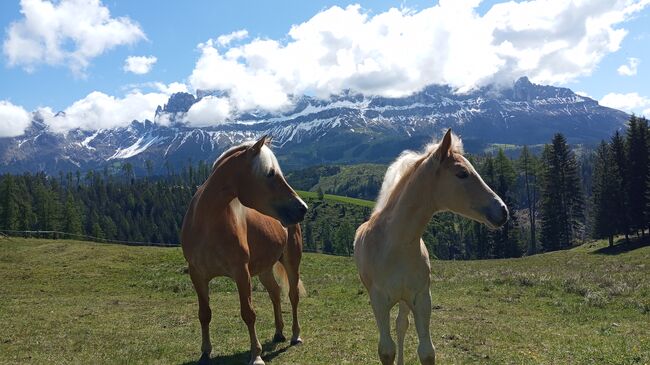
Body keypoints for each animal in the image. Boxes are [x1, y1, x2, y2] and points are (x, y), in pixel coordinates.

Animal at [180, 136, 306, 364]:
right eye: (270, 173)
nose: (303, 208)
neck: (207, 225)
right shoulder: (197, 274)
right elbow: (204, 313)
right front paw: (205, 352)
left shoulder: (241, 272)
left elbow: (248, 313)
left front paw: (256, 355)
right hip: (265, 268)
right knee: (275, 293)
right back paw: (278, 333)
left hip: (291, 262)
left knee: (292, 296)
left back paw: (295, 335)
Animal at [352, 129, 508, 362]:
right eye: (462, 173)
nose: (503, 211)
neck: (396, 245)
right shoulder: (378, 301)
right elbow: (386, 350)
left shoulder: (422, 298)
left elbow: (426, 351)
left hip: (405, 300)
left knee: (401, 325)